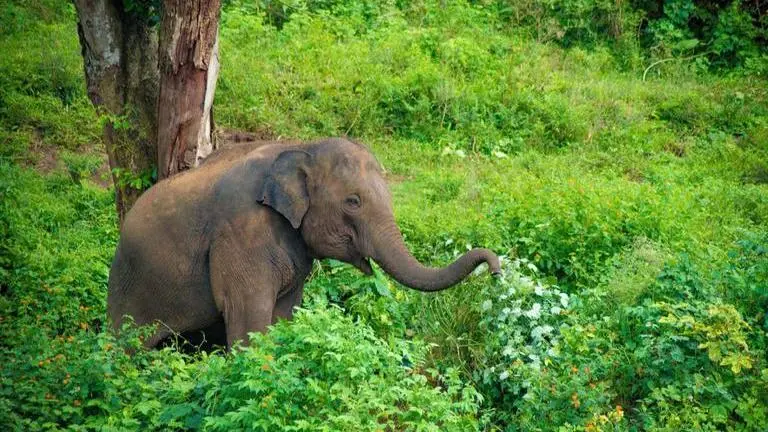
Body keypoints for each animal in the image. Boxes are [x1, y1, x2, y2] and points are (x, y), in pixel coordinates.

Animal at [107, 137, 500, 348]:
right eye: (353, 202)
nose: (496, 272)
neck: (300, 146)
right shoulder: (240, 236)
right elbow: (248, 319)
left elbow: (284, 313)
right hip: (129, 283)